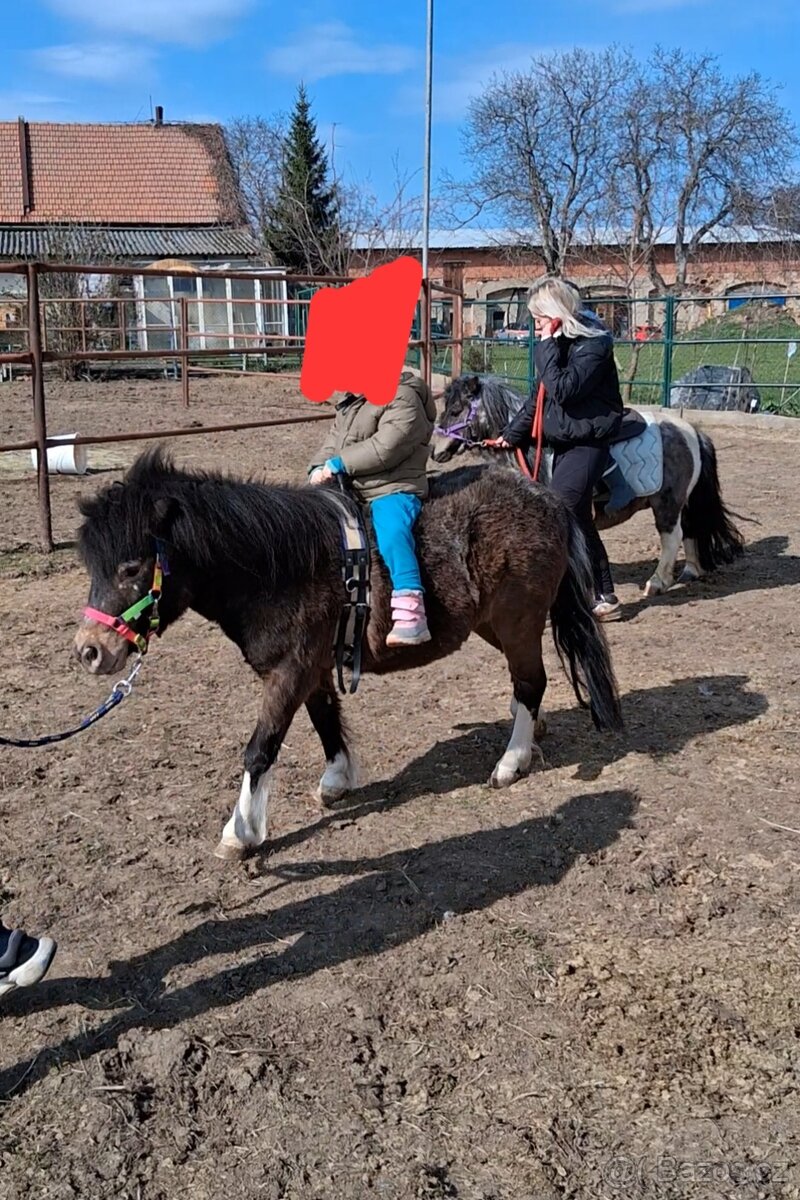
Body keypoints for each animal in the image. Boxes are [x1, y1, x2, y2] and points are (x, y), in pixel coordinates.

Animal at [73, 448, 622, 861]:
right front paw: (337, 777)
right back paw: (529, 731)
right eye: (93, 567)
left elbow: (261, 747)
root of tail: (546, 498)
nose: (90, 651)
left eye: (131, 567)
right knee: (526, 683)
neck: (280, 566)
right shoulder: (312, 669)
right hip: (492, 624)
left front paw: (240, 832)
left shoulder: (289, 671)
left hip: (518, 619)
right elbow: (324, 719)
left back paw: (511, 761)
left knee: (531, 682)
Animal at [431, 374, 744, 597]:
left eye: (456, 410)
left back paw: (657, 582)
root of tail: (691, 431)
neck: (531, 446)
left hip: (667, 502)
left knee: (672, 535)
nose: (435, 451)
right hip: (684, 500)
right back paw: (691, 571)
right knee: (691, 528)